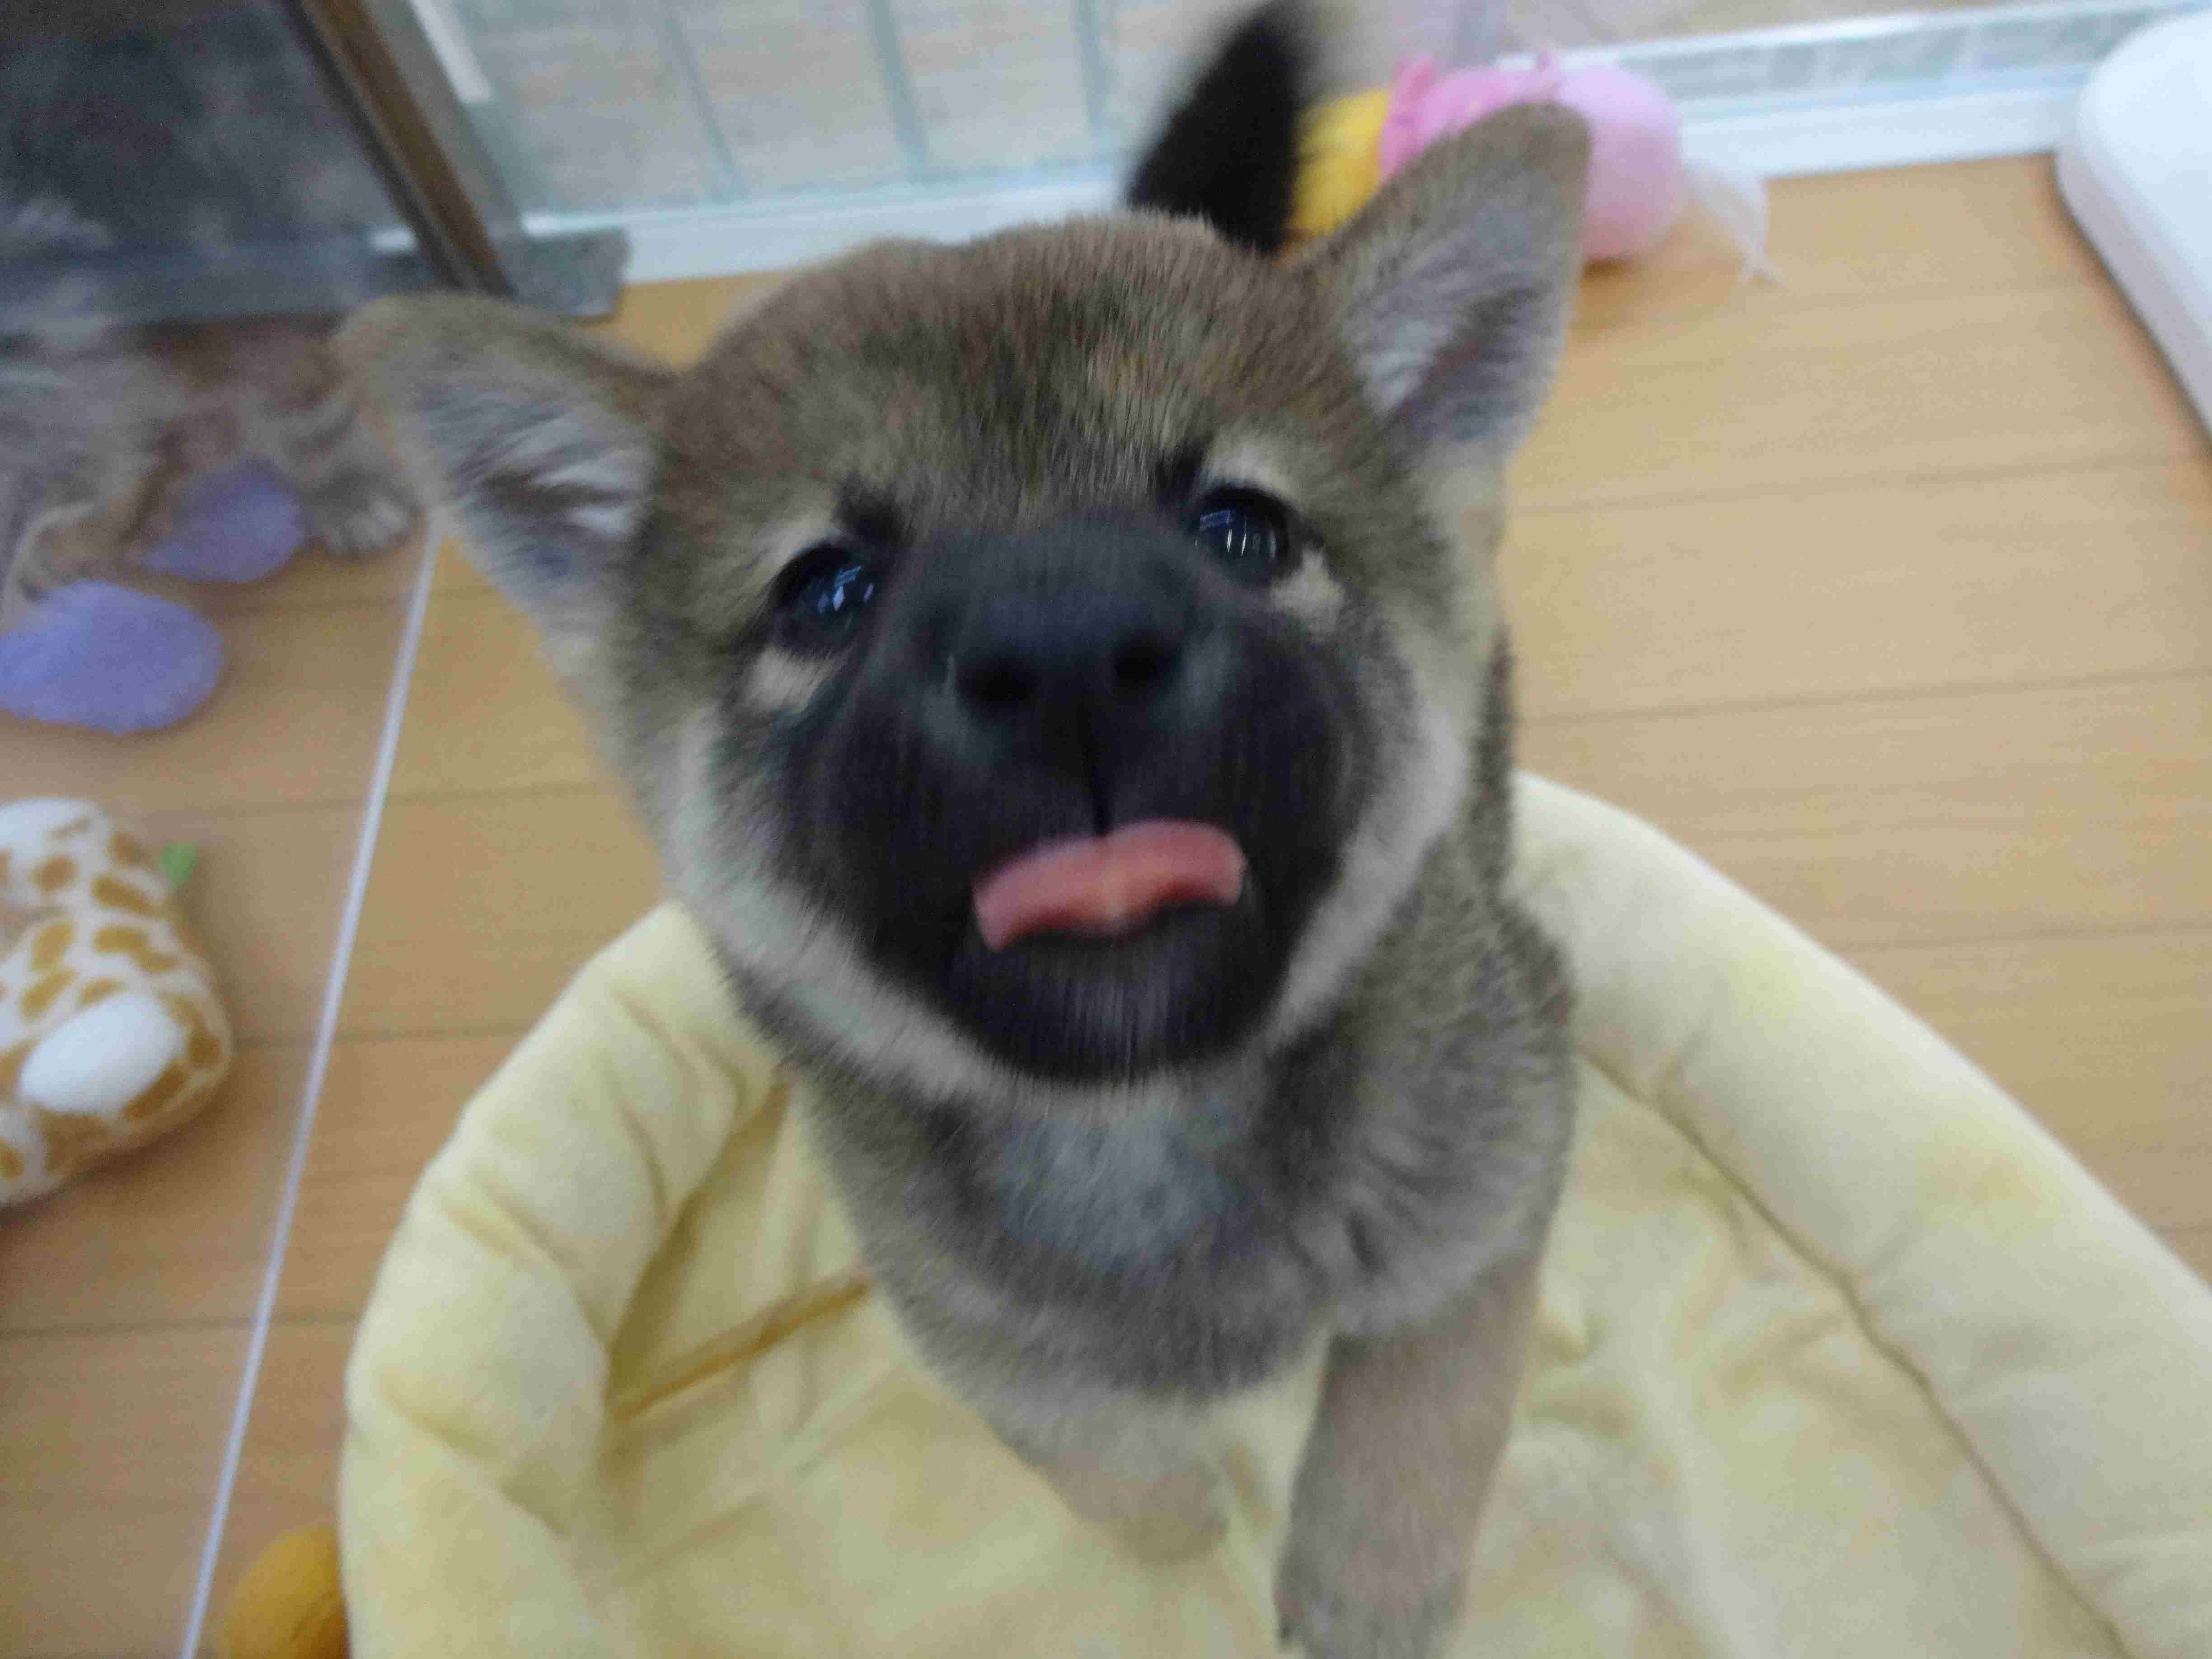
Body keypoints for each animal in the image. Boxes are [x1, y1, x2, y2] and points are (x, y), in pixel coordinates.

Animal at [341, 7, 1586, 1653]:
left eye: (1242, 530)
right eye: (827, 591)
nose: (1064, 644)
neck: (1138, 1121)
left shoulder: (1502, 1167)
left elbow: (1421, 1408)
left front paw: (1363, 1580)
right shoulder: (964, 1327)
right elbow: (1088, 1451)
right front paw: (1175, 1518)